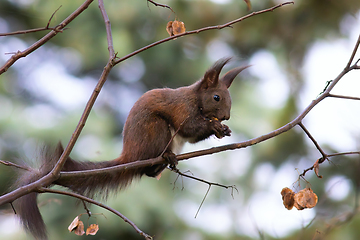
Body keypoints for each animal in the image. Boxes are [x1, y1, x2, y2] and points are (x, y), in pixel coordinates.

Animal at [11, 57, 248, 239]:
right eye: (216, 97)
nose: (226, 116)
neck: (196, 99)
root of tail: (130, 155)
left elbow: (192, 137)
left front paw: (223, 130)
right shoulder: (182, 108)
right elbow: (189, 128)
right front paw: (215, 126)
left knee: (149, 173)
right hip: (156, 130)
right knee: (149, 164)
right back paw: (167, 157)